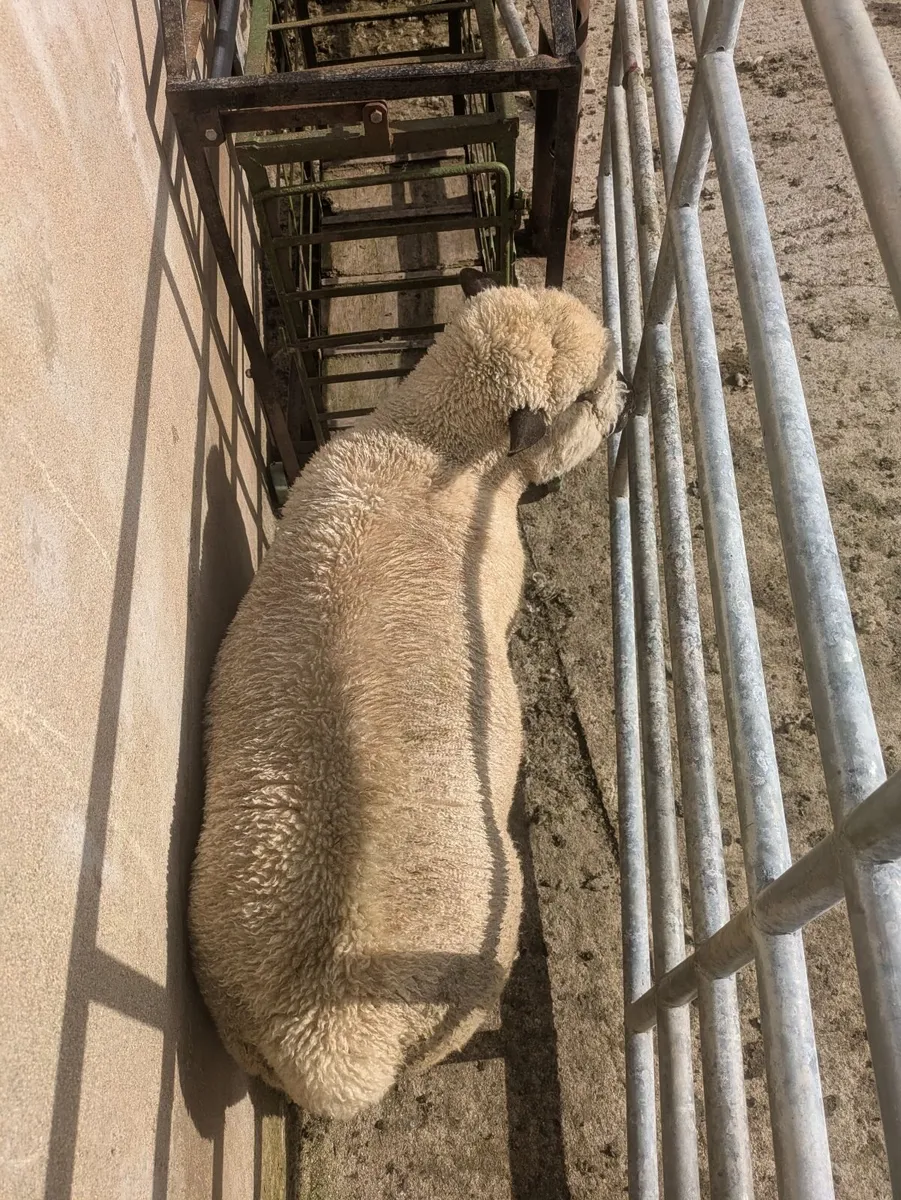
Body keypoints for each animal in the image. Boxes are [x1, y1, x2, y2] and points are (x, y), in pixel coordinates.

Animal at [188, 272, 631, 1120]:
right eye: (586, 394)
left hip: (232, 1013)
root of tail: (331, 1045)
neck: (431, 447)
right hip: (461, 986)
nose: (626, 393)